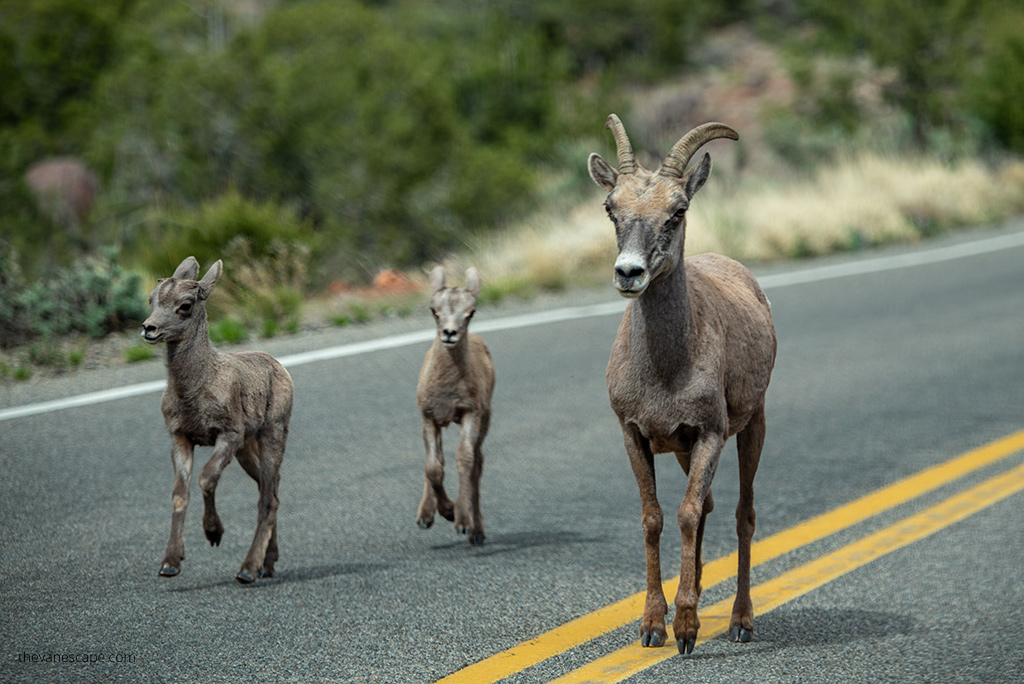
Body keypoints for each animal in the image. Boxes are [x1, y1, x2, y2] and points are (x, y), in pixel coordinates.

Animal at [141, 256, 294, 584]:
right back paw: (267, 564)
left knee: (268, 498)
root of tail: (280, 368)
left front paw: (214, 534)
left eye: (185, 305)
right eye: (151, 299)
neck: (196, 390)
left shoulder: (228, 434)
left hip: (272, 434)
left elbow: (207, 478)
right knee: (269, 488)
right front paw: (170, 564)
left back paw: (248, 570)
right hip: (247, 449)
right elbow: (179, 493)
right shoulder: (180, 438)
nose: (149, 328)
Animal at [416, 267, 495, 545]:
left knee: (477, 463)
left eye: (470, 312)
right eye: (433, 310)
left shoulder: (470, 414)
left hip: (484, 422)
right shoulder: (429, 418)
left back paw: (477, 533)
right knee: (435, 459)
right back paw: (425, 517)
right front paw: (441, 513)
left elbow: (464, 459)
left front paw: (459, 519)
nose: (449, 334)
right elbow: (433, 467)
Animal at [588, 115, 777, 654]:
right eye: (611, 208)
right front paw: (654, 626)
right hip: (684, 450)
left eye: (678, 210)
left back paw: (740, 622)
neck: (664, 370)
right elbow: (654, 518)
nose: (629, 273)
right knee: (711, 506)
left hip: (752, 427)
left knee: (741, 514)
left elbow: (688, 513)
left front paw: (687, 629)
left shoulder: (711, 433)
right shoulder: (636, 435)